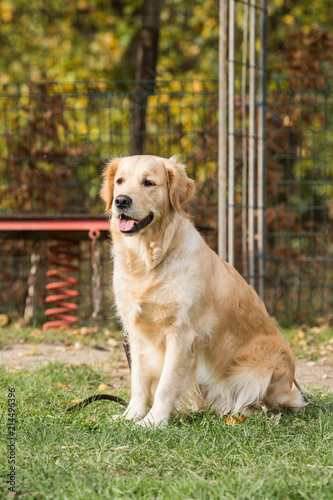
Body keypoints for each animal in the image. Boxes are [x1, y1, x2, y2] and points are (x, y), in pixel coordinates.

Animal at [100, 155, 304, 426]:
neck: (149, 260)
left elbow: (166, 384)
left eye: (148, 183)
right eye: (120, 181)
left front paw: (152, 422)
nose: (121, 200)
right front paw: (131, 416)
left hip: (265, 366)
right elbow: (139, 383)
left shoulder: (182, 333)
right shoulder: (136, 334)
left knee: (265, 403)